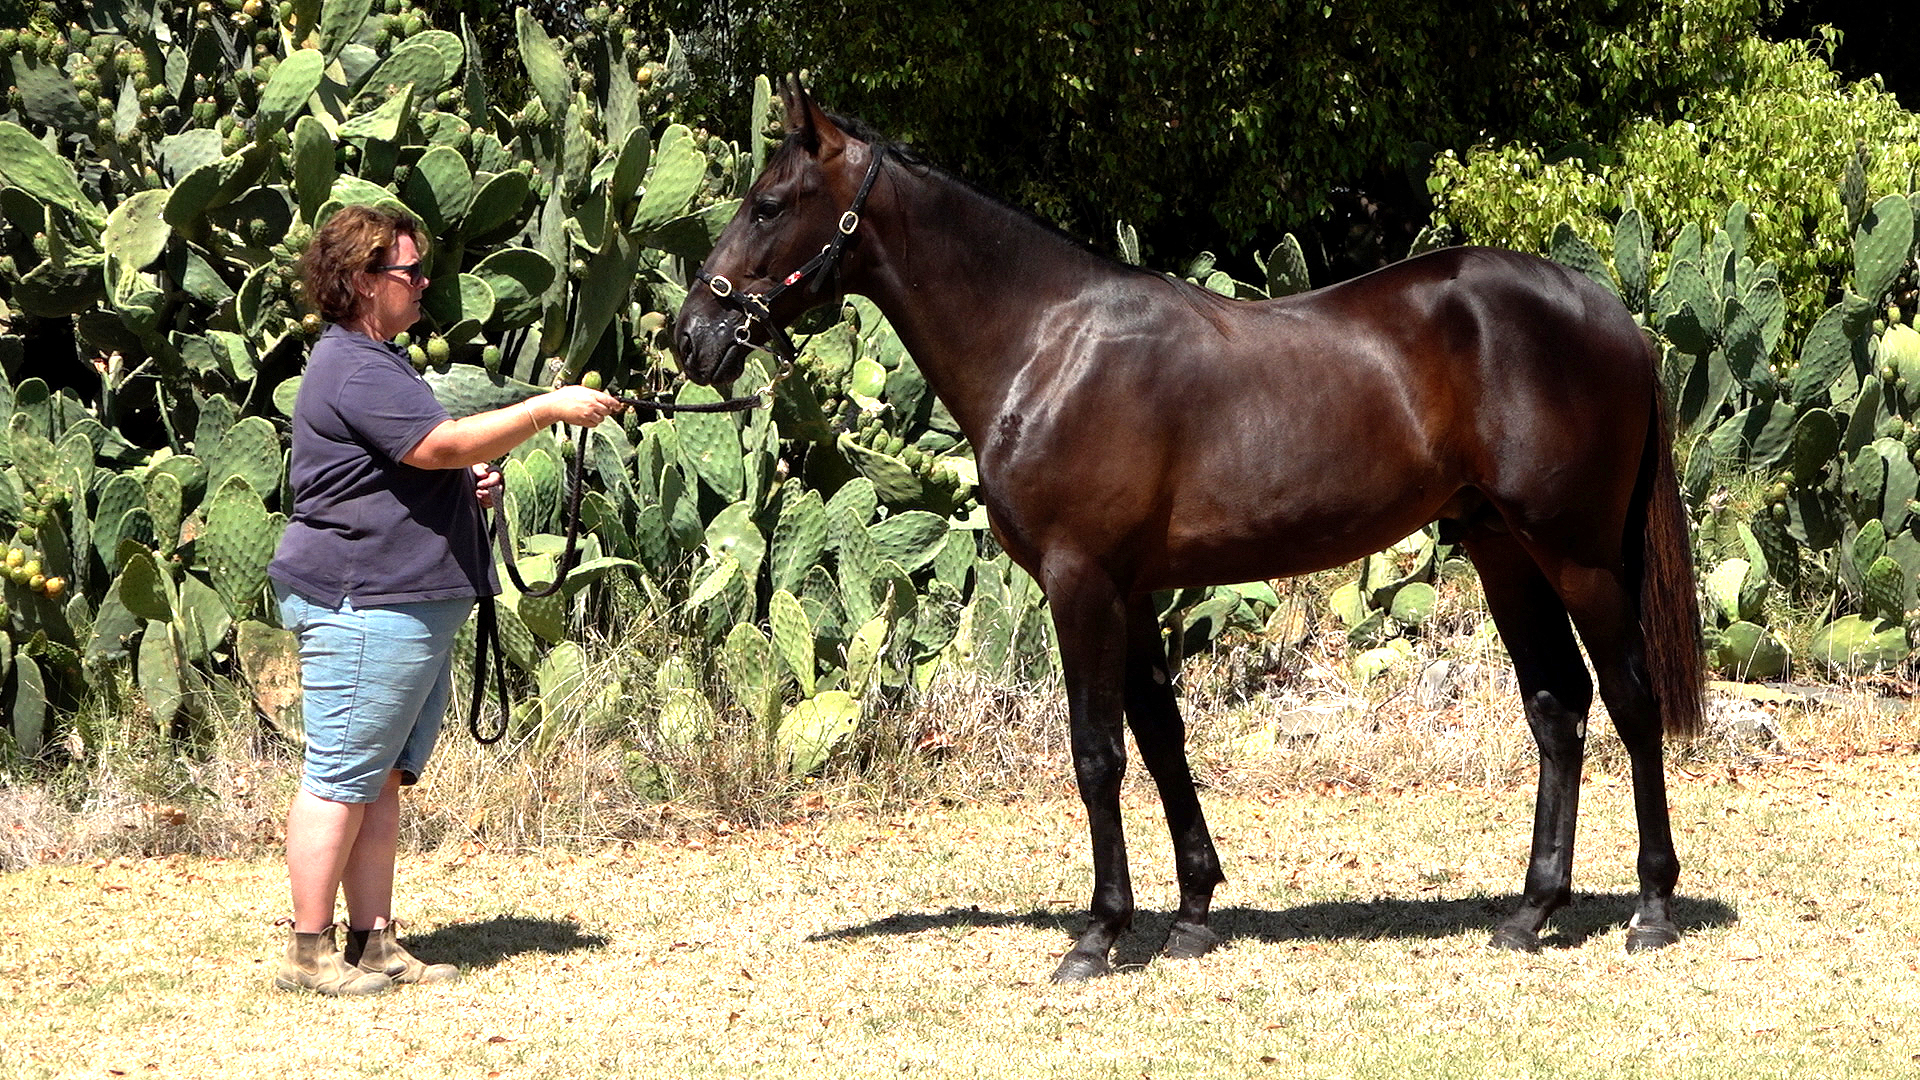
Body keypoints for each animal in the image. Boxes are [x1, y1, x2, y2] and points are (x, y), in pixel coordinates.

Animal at [673, 79, 1703, 982]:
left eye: (768, 204)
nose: (691, 336)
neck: (1047, 343)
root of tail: (1612, 313)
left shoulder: (1080, 580)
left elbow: (1097, 754)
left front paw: (1097, 935)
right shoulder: (1129, 590)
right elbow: (1162, 738)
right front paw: (1194, 915)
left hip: (1576, 554)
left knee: (1629, 697)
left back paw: (1651, 909)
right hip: (1502, 550)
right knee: (1558, 708)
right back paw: (1532, 911)